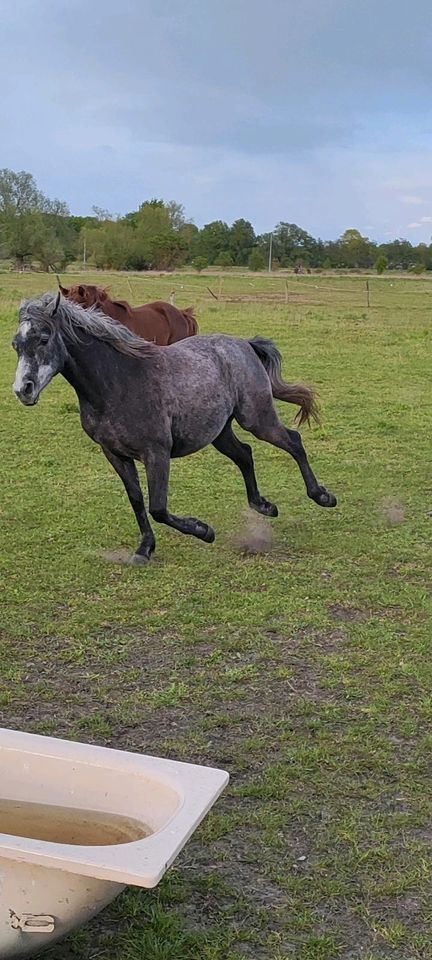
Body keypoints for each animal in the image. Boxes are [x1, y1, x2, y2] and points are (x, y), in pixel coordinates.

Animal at [11, 292, 338, 564]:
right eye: (16, 344)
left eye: (44, 338)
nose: (23, 390)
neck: (118, 383)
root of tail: (244, 344)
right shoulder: (115, 454)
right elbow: (137, 500)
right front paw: (145, 549)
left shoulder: (157, 453)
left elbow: (158, 507)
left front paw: (203, 530)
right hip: (219, 432)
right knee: (245, 454)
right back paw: (263, 506)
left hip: (257, 418)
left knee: (293, 441)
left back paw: (322, 496)